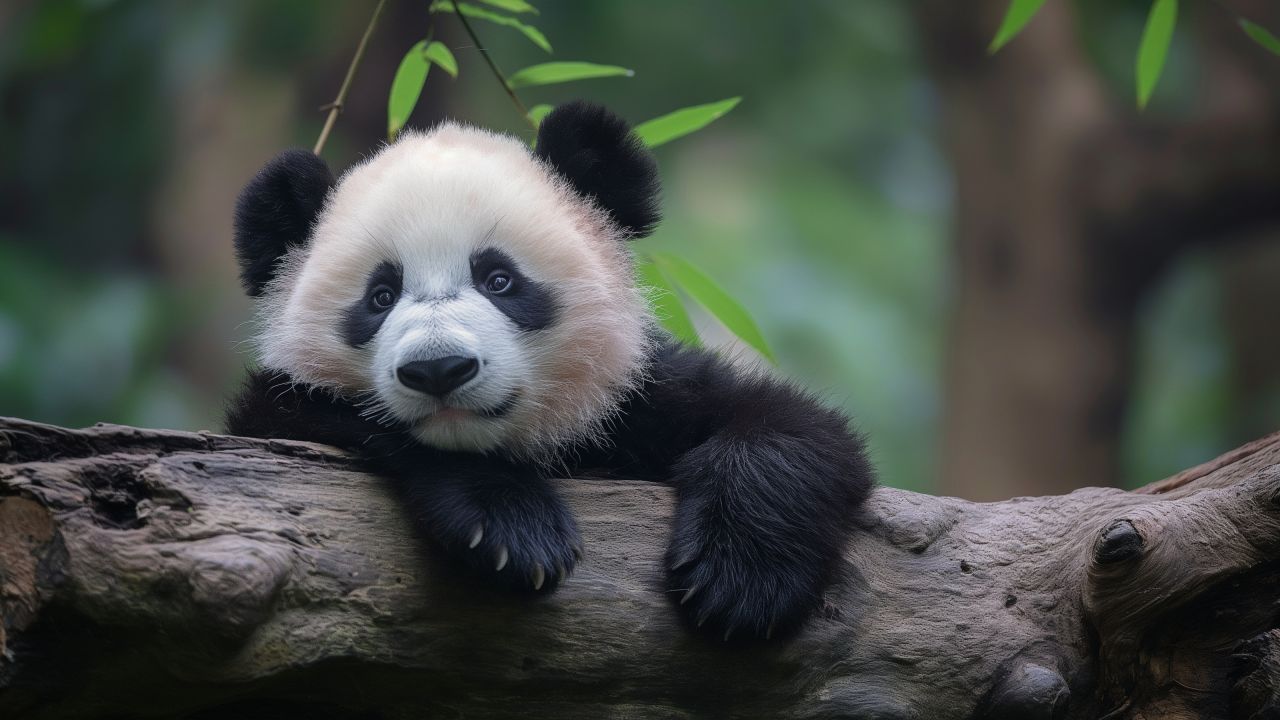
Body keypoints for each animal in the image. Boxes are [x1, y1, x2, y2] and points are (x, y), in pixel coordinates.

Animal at [225, 101, 874, 642]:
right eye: (380, 297)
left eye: (499, 279)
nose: (439, 370)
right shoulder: (276, 413)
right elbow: (329, 418)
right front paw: (512, 528)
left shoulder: (636, 399)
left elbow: (793, 426)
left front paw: (740, 578)